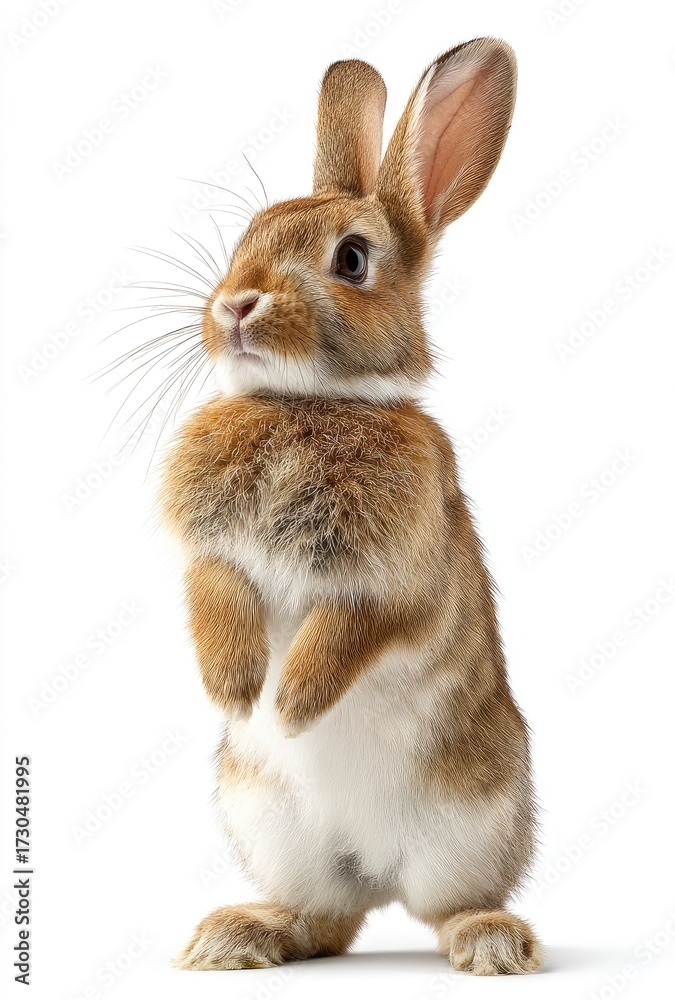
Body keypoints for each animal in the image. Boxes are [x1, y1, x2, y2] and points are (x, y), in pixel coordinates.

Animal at [162, 37, 543, 975]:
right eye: (247, 237)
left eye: (352, 261)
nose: (235, 305)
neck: (306, 403)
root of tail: (374, 872)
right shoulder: (210, 556)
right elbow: (214, 599)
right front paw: (236, 692)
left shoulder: (401, 581)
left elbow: (349, 632)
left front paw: (290, 705)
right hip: (273, 828)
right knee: (322, 922)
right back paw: (237, 936)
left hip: (472, 823)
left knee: (448, 907)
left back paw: (491, 944)